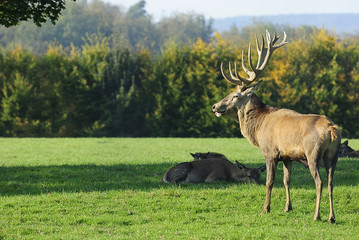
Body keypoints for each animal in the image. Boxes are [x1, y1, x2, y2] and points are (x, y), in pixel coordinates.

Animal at [212, 30, 342, 223]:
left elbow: (270, 181)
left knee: (319, 182)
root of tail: (332, 130)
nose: (215, 106)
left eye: (235, 96)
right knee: (331, 182)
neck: (258, 128)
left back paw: (317, 215)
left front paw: (265, 209)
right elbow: (286, 180)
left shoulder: (270, 152)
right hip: (333, 155)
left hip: (313, 153)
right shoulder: (287, 156)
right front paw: (288, 207)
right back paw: (331, 217)